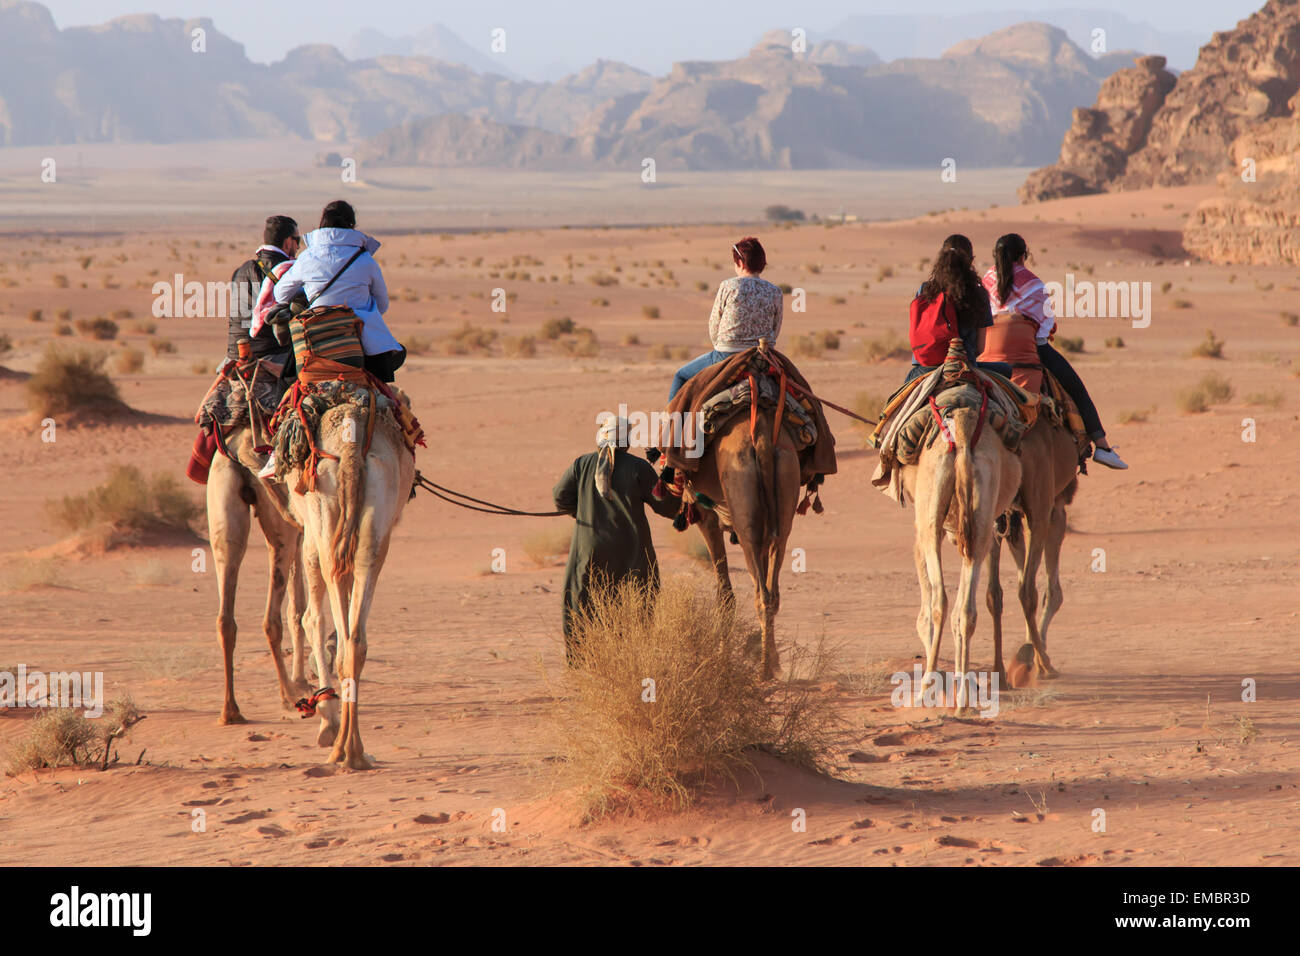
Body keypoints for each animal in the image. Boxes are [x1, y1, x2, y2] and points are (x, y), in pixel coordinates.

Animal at [206, 426, 310, 724]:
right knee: (270, 618)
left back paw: (231, 711)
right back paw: (288, 696)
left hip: (223, 507)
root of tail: (243, 446)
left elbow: (298, 607)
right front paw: (303, 681)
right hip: (281, 528)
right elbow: (302, 608)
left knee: (225, 618)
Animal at [287, 398, 414, 770]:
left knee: (330, 619)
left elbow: (311, 618)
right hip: (374, 525)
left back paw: (341, 748)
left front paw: (326, 722)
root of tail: (350, 442)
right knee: (355, 641)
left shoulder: (309, 535)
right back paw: (354, 751)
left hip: (325, 512)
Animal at [689, 407, 801, 681]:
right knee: (772, 593)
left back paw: (763, 670)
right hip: (785, 481)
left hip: (742, 506)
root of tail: (761, 438)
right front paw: (776, 660)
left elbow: (725, 596)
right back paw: (769, 665)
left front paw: (721, 661)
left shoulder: (706, 519)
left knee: (761, 593)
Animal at [900, 404, 1021, 712]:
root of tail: (963, 433)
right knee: (964, 611)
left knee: (939, 601)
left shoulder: (920, 531)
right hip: (980, 516)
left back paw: (925, 689)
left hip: (931, 515)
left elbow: (924, 613)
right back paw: (964, 699)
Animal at [986, 411, 1084, 686]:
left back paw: (1000, 673)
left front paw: (1026, 652)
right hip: (1040, 506)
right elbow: (1053, 592)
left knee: (995, 593)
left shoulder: (1011, 516)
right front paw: (1033, 655)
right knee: (1027, 591)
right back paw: (1046, 666)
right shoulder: (1055, 507)